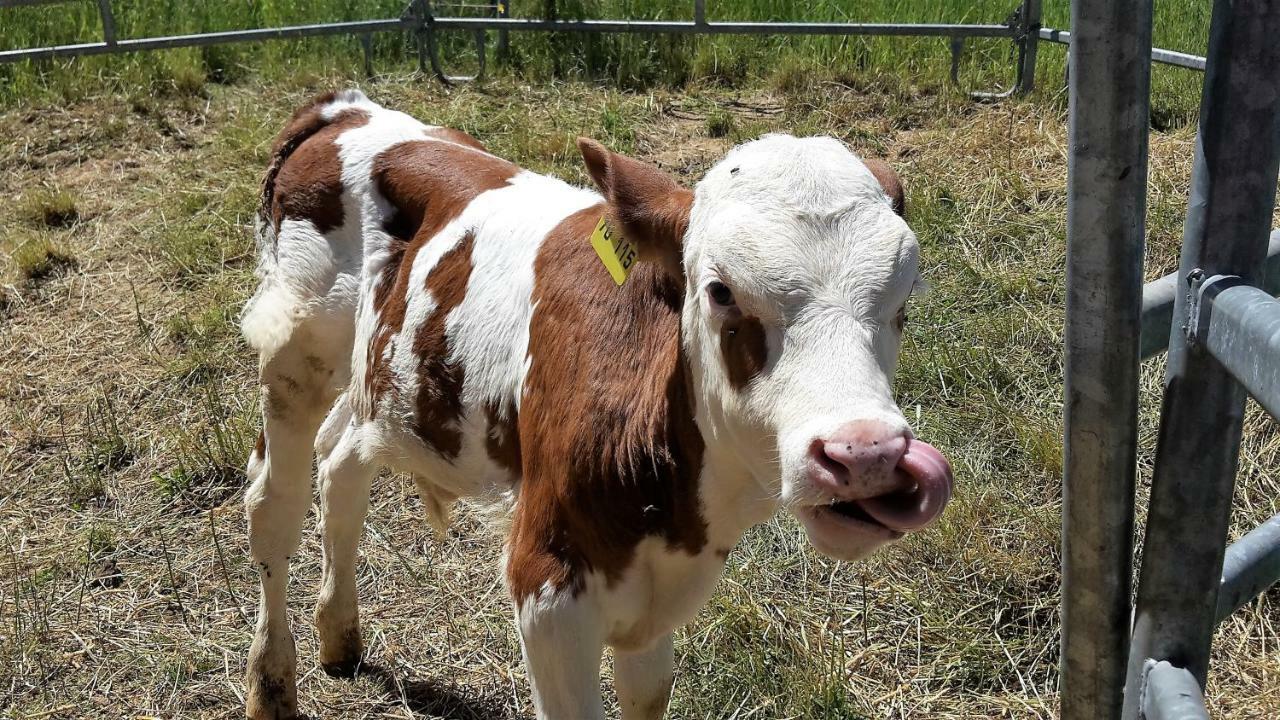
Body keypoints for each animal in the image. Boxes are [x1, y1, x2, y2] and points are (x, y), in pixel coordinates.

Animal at [244, 89, 957, 717]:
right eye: (721, 290)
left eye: (906, 298)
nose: (865, 454)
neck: (678, 512)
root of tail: (347, 108)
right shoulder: (547, 582)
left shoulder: (655, 608)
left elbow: (648, 693)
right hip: (295, 350)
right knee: (273, 505)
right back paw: (271, 684)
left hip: (379, 383)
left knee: (341, 463)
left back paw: (339, 635)